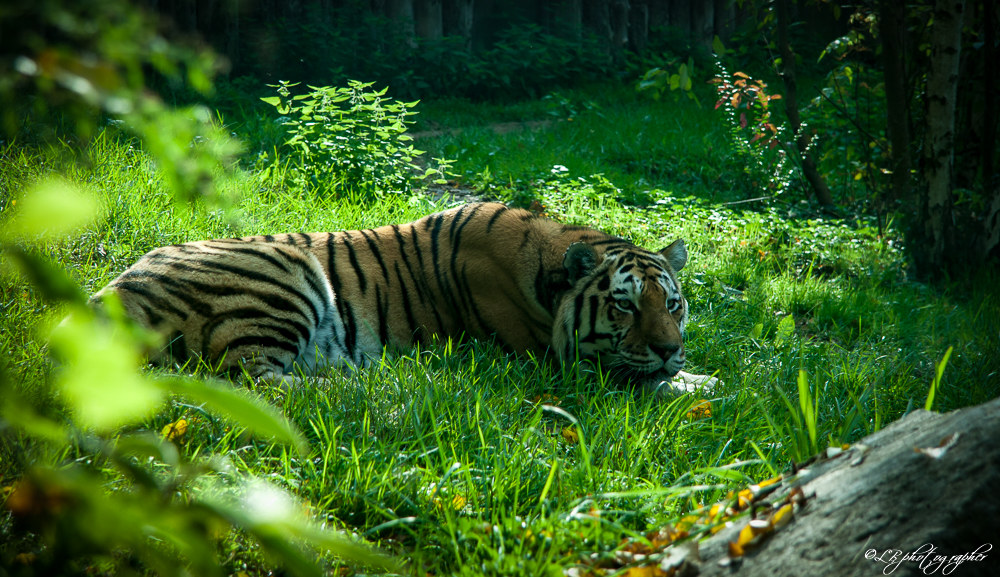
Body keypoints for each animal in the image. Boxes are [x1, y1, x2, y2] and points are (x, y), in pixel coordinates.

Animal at [86, 202, 718, 395]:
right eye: (623, 305)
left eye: (674, 305)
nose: (670, 348)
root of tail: (113, 289)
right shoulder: (552, 358)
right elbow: (638, 377)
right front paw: (699, 384)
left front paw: (698, 373)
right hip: (283, 273)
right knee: (256, 379)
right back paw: (388, 384)